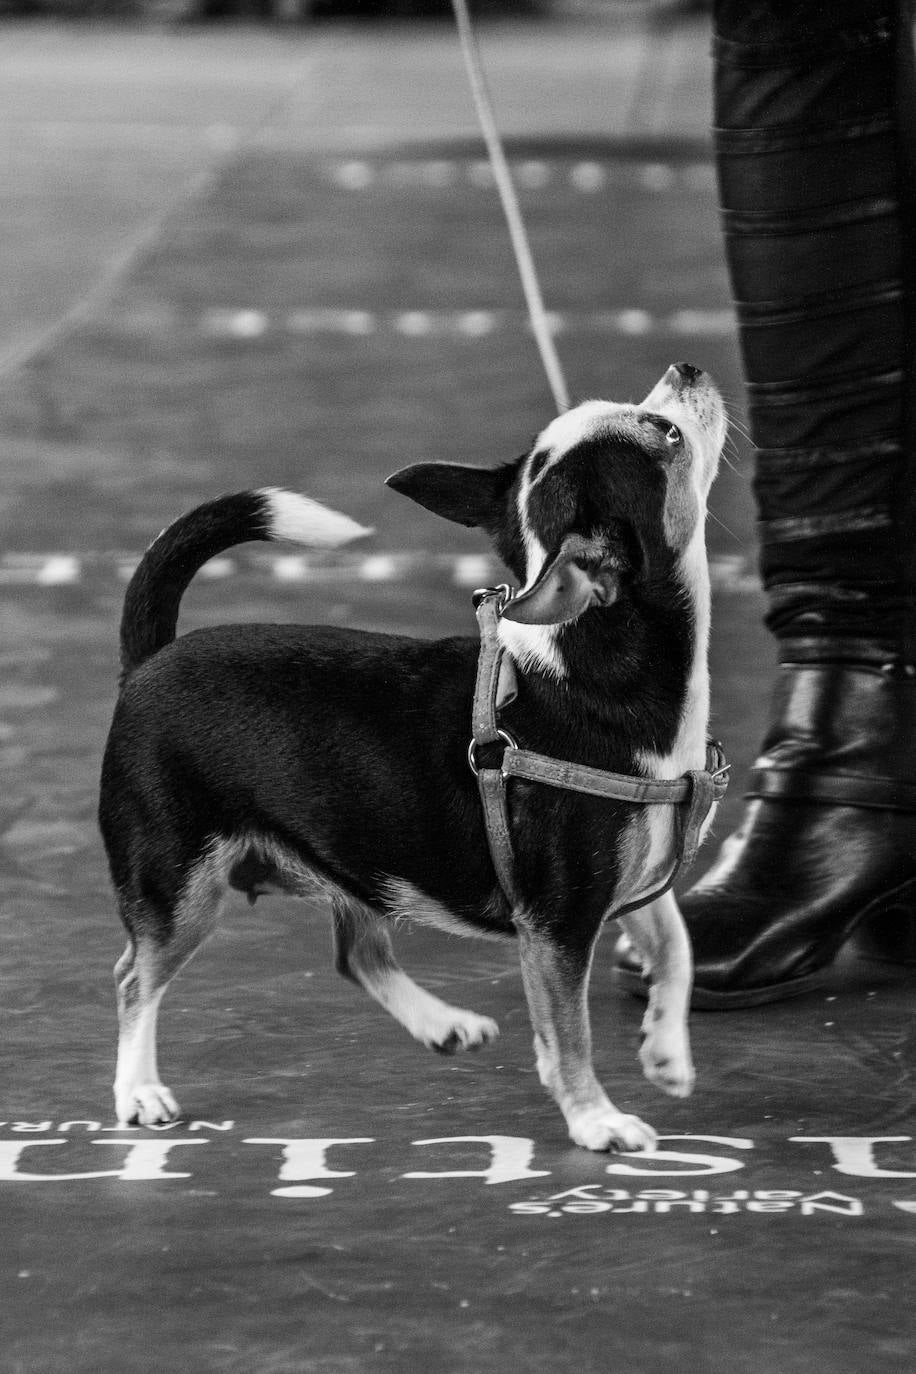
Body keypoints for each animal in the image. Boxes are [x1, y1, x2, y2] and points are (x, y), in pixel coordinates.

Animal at [100, 362, 725, 1148]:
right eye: (665, 432)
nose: (687, 369)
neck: (593, 664)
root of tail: (146, 663)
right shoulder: (557, 925)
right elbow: (569, 1034)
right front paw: (595, 1119)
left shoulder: (627, 881)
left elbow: (676, 947)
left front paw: (667, 1053)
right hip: (181, 888)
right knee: (135, 975)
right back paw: (138, 1090)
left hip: (354, 860)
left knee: (355, 952)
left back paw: (443, 1025)